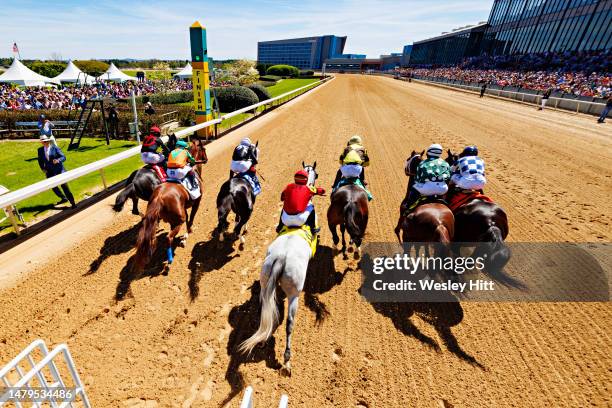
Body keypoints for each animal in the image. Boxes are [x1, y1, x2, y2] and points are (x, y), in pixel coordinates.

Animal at [131, 139, 208, 272]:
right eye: (204, 149)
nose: (206, 159)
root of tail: (159, 197)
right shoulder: (197, 202)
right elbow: (190, 219)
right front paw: (187, 235)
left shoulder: (183, 208)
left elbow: (188, 218)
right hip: (177, 220)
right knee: (168, 237)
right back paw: (169, 260)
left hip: (165, 217)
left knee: (150, 235)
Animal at [240, 162, 320, 376]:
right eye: (316, 174)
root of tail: (281, 257)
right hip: (294, 294)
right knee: (289, 325)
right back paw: (287, 361)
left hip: (266, 279)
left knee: (267, 311)